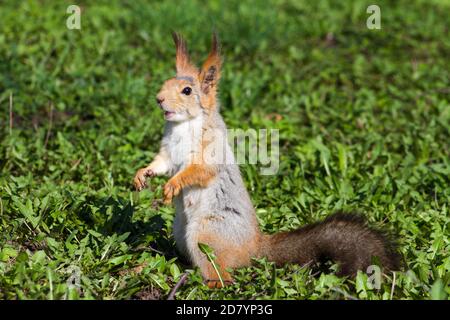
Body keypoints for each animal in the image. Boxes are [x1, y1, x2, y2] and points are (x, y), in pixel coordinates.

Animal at [134, 32, 400, 288]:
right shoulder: (168, 151)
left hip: (207, 234)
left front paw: (173, 185)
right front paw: (142, 175)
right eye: (165, 83)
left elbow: (200, 170)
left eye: (187, 91)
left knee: (223, 275)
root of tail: (254, 248)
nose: (158, 99)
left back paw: (207, 282)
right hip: (181, 232)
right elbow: (162, 164)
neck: (184, 125)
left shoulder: (210, 149)